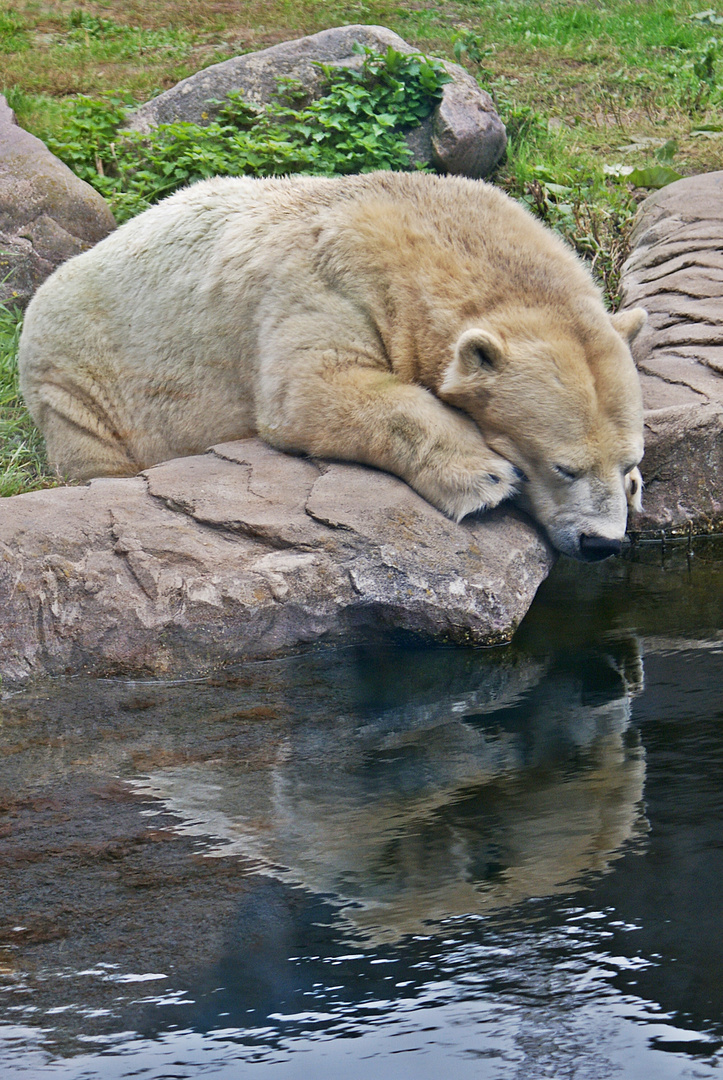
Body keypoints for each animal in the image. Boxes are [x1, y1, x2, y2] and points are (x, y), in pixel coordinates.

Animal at [19, 172, 644, 561]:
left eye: (629, 461)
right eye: (564, 467)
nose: (602, 544)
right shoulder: (330, 280)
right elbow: (311, 391)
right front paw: (484, 477)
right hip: (81, 375)